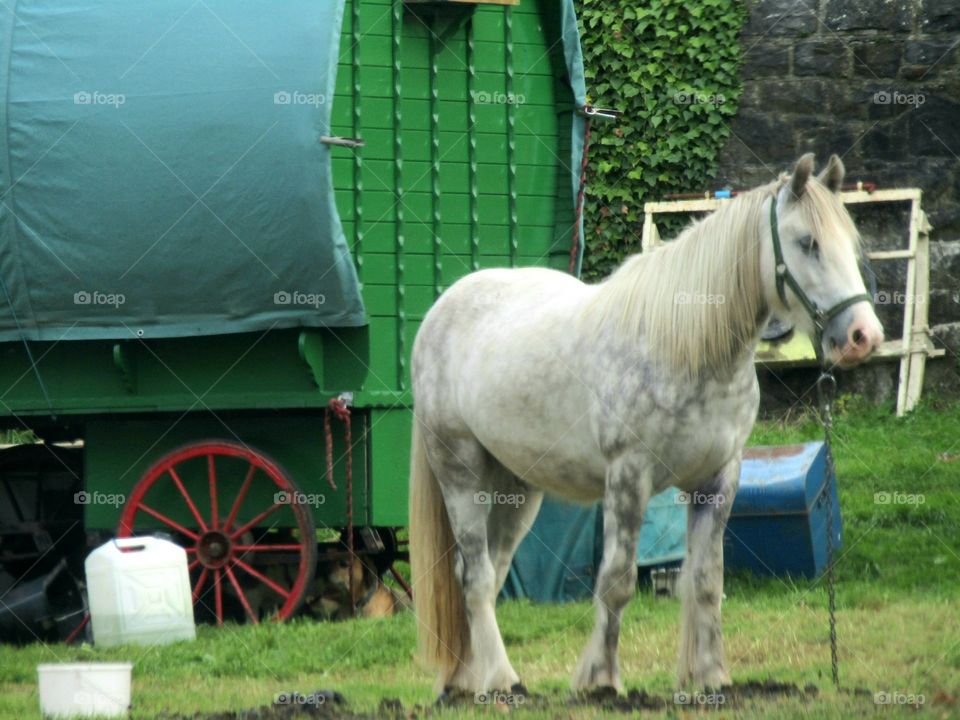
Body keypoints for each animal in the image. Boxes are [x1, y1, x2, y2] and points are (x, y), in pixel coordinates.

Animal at [408, 156, 880, 696]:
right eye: (808, 243)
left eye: (851, 243)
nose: (864, 336)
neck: (687, 350)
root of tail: (441, 311)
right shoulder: (628, 478)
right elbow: (616, 582)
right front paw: (600, 680)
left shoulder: (719, 480)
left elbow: (706, 582)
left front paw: (712, 677)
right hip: (460, 470)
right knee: (477, 575)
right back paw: (503, 680)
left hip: (516, 488)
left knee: (486, 567)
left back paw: (469, 679)